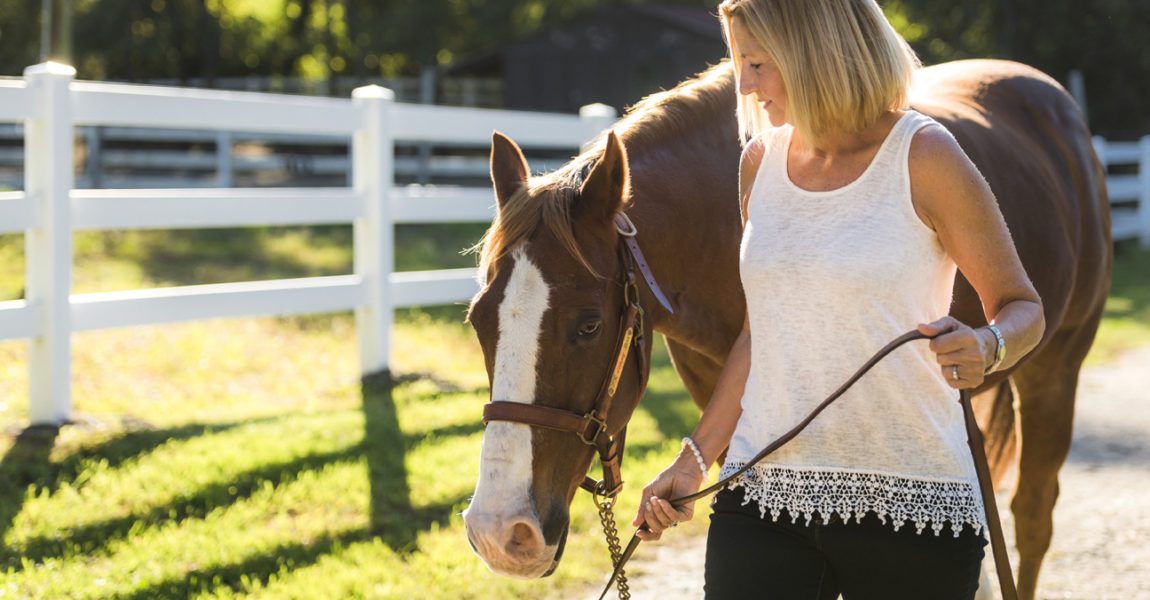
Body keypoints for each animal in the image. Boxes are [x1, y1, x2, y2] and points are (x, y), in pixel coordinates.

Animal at [460, 57, 1113, 597]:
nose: (500, 533)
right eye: (478, 322)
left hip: (1056, 371)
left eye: (590, 325)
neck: (718, 228)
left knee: (1031, 518)